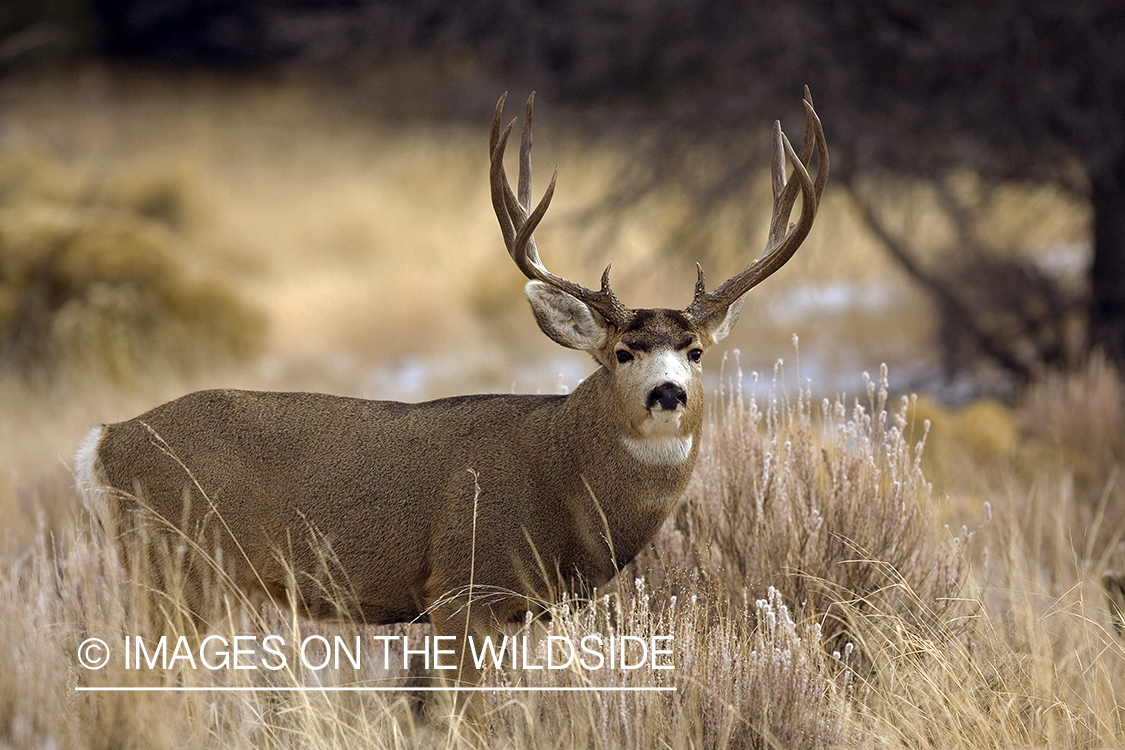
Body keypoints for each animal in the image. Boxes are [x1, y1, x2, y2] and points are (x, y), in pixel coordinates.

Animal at [75, 89, 827, 689]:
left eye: (695, 351)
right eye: (622, 353)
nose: (667, 393)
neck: (562, 474)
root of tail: (105, 441)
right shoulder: (464, 587)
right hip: (177, 561)